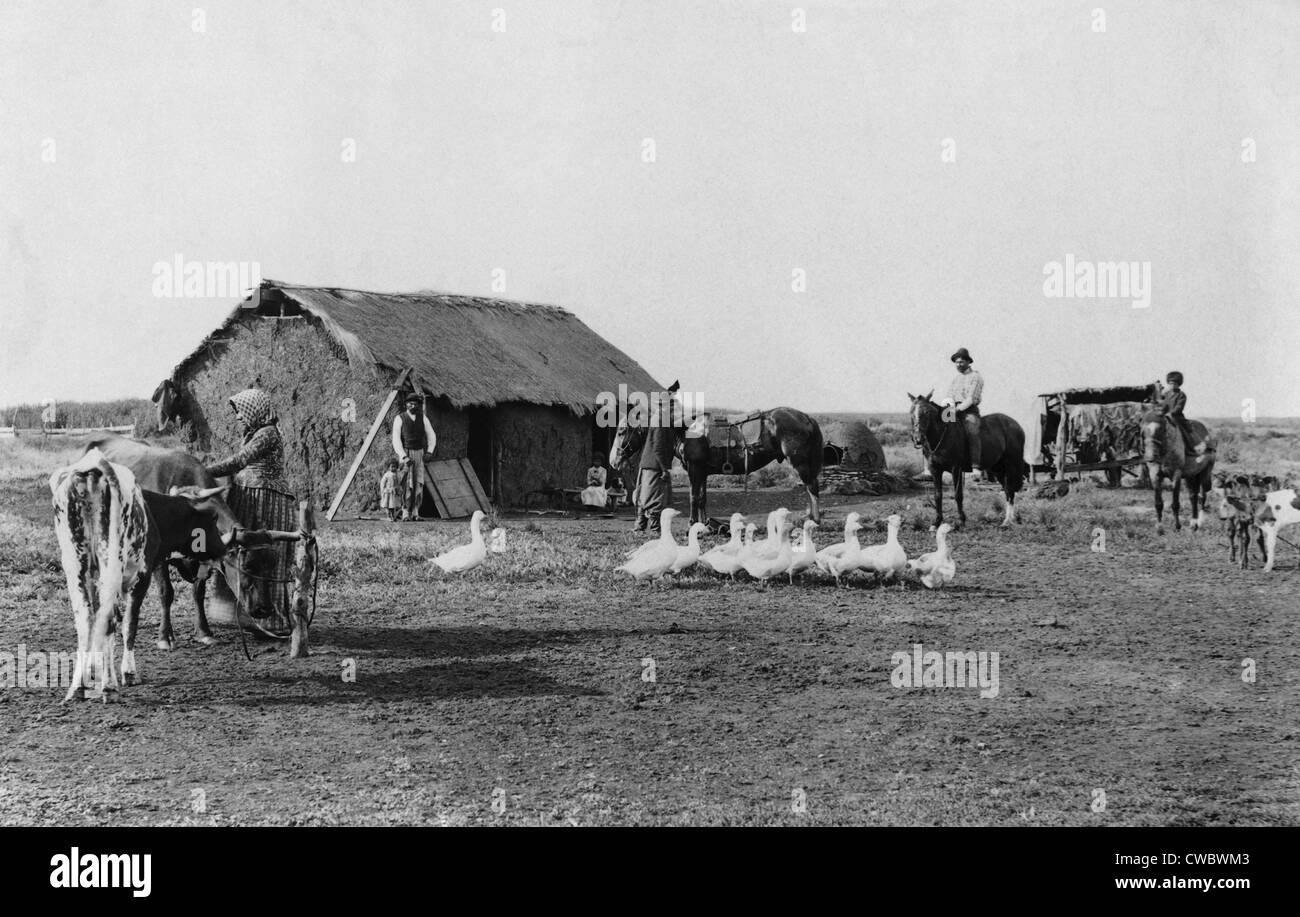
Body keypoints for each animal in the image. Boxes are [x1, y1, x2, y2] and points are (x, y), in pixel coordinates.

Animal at [49, 447, 156, 697]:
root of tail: (94, 464)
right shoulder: (142, 576)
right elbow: (129, 624)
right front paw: (128, 673)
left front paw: (93, 671)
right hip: (113, 560)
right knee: (110, 619)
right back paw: (109, 687)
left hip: (75, 562)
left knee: (86, 618)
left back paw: (79, 686)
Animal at [608, 405, 821, 522]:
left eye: (621, 431)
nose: (613, 461)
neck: (685, 429)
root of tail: (807, 417)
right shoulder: (702, 471)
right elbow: (702, 498)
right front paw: (704, 524)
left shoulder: (694, 469)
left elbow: (694, 497)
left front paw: (692, 523)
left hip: (800, 463)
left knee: (812, 488)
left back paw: (815, 520)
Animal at [909, 392, 1029, 530]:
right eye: (911, 412)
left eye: (927, 412)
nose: (918, 438)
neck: (943, 435)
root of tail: (1016, 425)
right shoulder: (935, 470)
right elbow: (938, 495)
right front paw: (936, 523)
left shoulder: (956, 469)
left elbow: (958, 495)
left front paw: (961, 521)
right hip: (998, 468)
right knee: (1008, 491)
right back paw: (1008, 520)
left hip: (1011, 464)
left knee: (1010, 490)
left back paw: (1007, 521)